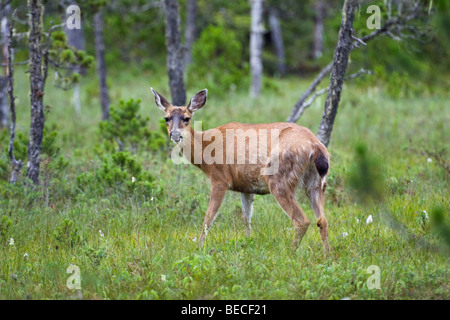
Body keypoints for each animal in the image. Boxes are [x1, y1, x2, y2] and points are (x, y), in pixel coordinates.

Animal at [151, 87, 330, 252]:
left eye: (186, 118)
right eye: (166, 118)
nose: (175, 135)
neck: (206, 149)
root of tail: (315, 146)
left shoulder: (220, 179)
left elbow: (209, 218)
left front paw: (199, 247)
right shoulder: (246, 186)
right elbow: (246, 217)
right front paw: (248, 242)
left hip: (279, 178)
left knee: (302, 220)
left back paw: (291, 252)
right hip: (317, 182)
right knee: (322, 220)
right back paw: (326, 255)